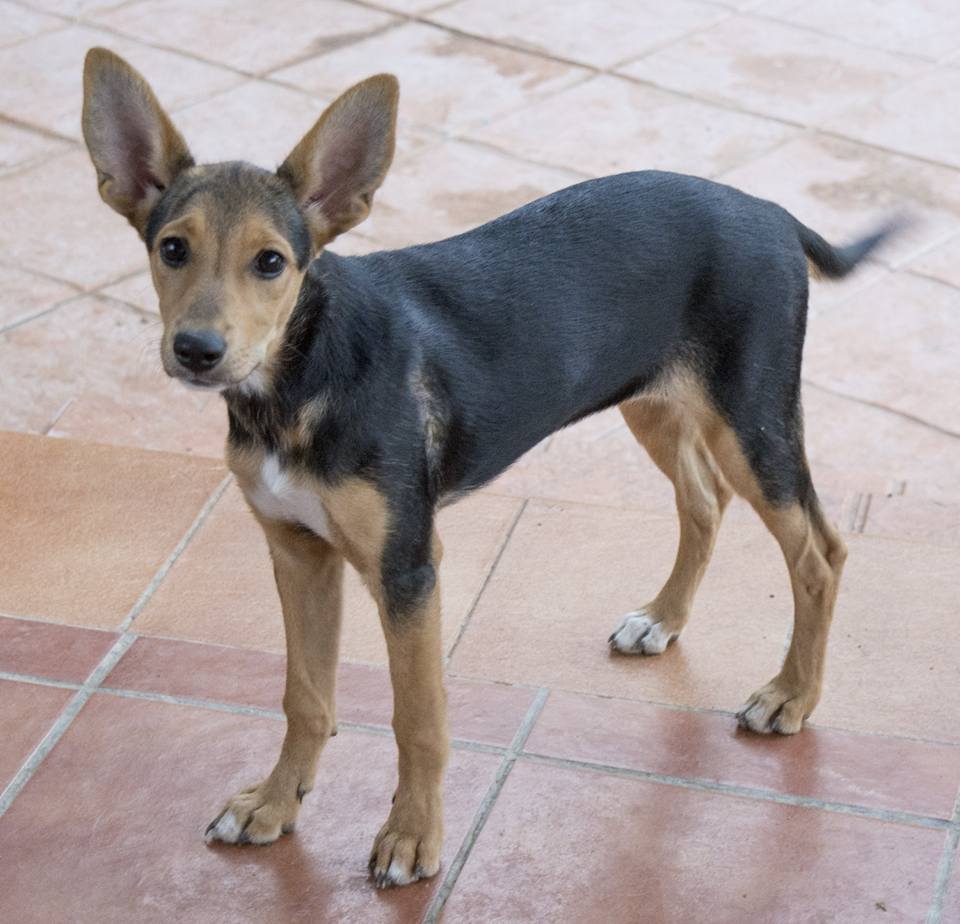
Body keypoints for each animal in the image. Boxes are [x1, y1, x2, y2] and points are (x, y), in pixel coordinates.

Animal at [81, 47, 897, 888]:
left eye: (270, 262)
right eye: (172, 248)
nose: (197, 351)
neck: (301, 375)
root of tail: (769, 210)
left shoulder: (408, 566)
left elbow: (418, 716)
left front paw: (412, 838)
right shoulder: (297, 552)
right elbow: (305, 696)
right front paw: (274, 806)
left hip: (752, 419)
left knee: (820, 551)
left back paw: (792, 697)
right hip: (654, 400)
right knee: (704, 501)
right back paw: (663, 619)